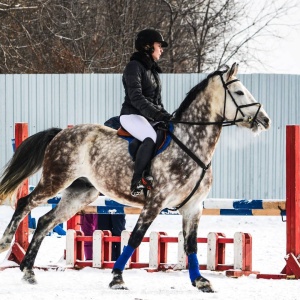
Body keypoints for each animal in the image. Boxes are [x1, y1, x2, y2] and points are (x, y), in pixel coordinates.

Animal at [0, 62, 270, 292]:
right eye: (240, 92)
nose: (265, 120)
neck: (191, 144)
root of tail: (60, 133)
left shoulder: (193, 207)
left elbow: (191, 244)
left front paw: (201, 281)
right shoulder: (155, 201)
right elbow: (136, 238)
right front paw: (117, 278)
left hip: (80, 193)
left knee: (45, 221)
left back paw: (28, 271)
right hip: (56, 179)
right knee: (25, 204)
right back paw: (6, 244)